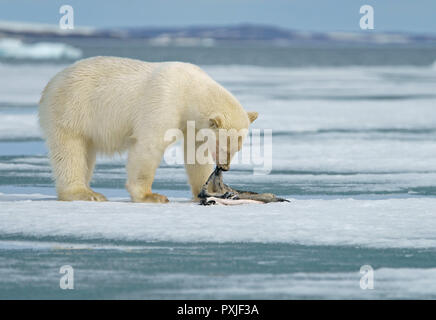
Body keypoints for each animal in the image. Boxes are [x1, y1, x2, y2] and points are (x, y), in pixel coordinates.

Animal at [39, 56, 258, 202]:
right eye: (224, 146)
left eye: (238, 148)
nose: (224, 167)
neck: (190, 90)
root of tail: (51, 83)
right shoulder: (164, 102)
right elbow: (149, 144)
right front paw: (151, 195)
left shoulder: (192, 123)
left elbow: (195, 152)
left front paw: (203, 191)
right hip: (72, 109)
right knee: (70, 151)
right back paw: (84, 193)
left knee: (86, 152)